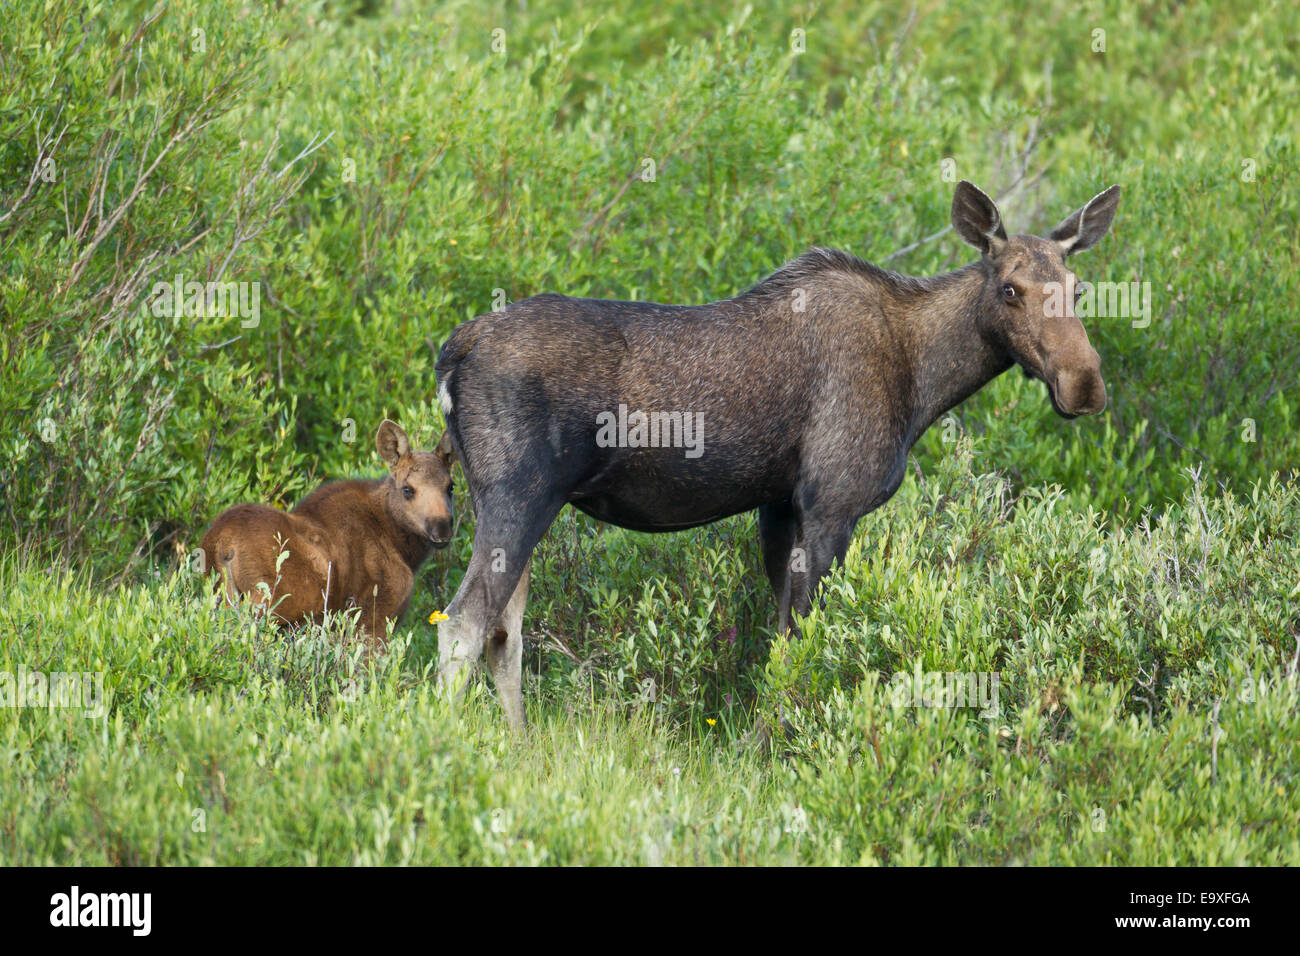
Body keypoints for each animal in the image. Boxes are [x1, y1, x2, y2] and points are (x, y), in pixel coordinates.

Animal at [195, 418, 454, 642]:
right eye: (408, 489)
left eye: (451, 486)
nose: (441, 528)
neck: (402, 546)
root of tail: (222, 544)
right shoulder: (376, 617)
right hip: (268, 605)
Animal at [434, 180, 1118, 733]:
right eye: (1010, 288)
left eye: (1078, 287)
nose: (1084, 383)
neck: (925, 381)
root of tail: (456, 349)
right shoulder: (832, 503)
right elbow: (802, 644)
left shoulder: (780, 505)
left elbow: (780, 642)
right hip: (518, 492)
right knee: (462, 623)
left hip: (517, 501)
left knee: (504, 632)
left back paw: (521, 744)